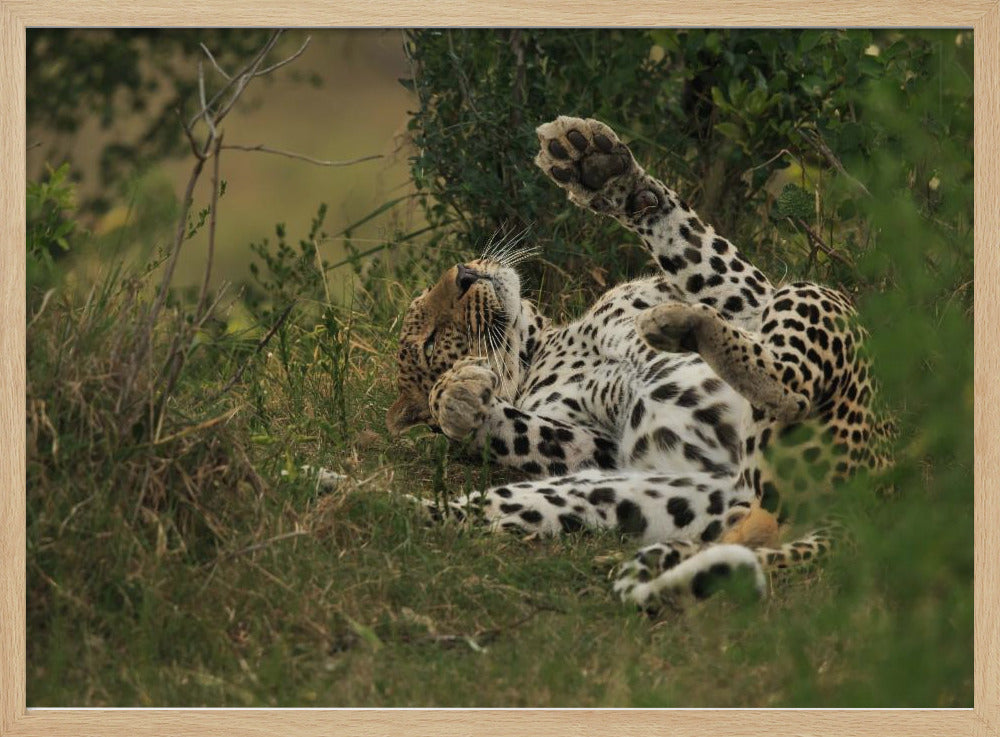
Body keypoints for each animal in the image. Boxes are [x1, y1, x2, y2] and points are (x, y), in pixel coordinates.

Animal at [382, 115, 892, 608]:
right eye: (431, 342)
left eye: (439, 284)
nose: (464, 274)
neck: (544, 343)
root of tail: (868, 503)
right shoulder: (596, 446)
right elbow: (526, 429)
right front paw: (456, 398)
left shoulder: (751, 301)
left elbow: (693, 245)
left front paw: (594, 163)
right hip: (626, 492)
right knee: (788, 392)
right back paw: (374, 502)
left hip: (812, 300)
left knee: (787, 372)